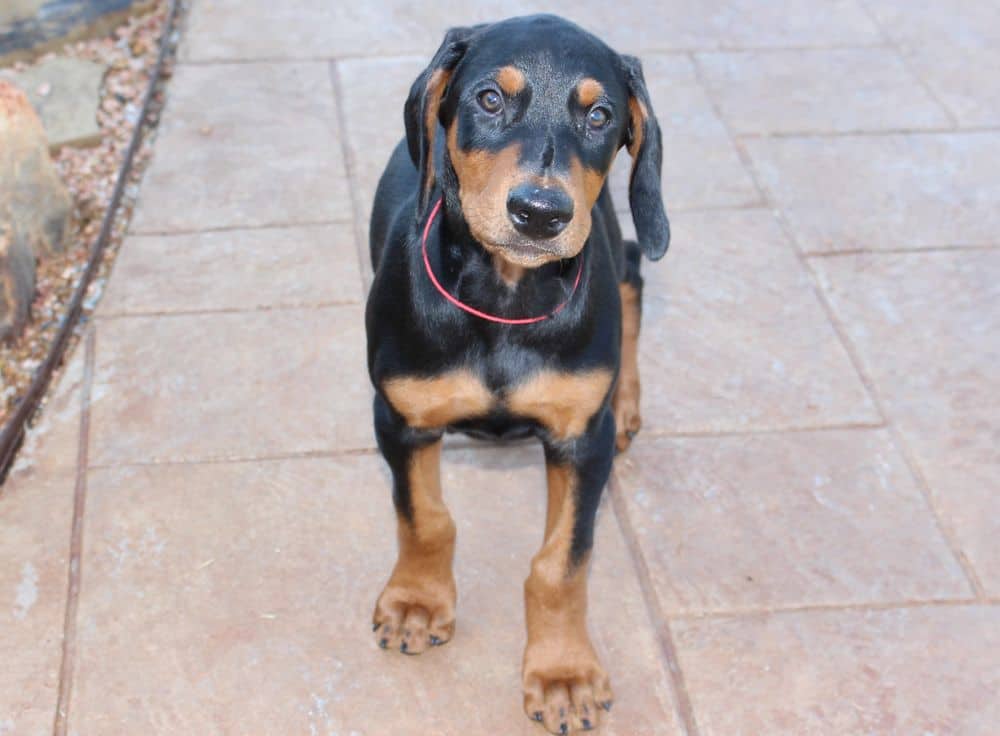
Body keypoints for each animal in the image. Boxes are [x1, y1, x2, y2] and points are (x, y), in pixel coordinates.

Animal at [364, 14, 668, 732]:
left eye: (601, 115)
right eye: (489, 99)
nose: (540, 213)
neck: (505, 297)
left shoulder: (580, 441)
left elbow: (562, 563)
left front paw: (562, 675)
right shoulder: (399, 415)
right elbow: (423, 516)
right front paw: (418, 601)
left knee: (633, 264)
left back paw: (628, 400)